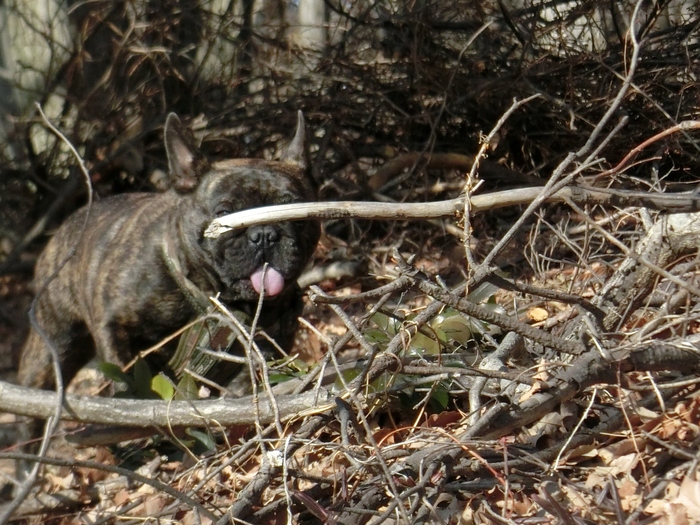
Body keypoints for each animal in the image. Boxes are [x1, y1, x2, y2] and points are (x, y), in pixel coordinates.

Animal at [19, 112, 320, 402]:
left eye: (297, 214)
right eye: (224, 213)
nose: (265, 233)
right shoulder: (114, 326)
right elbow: (124, 373)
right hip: (54, 343)